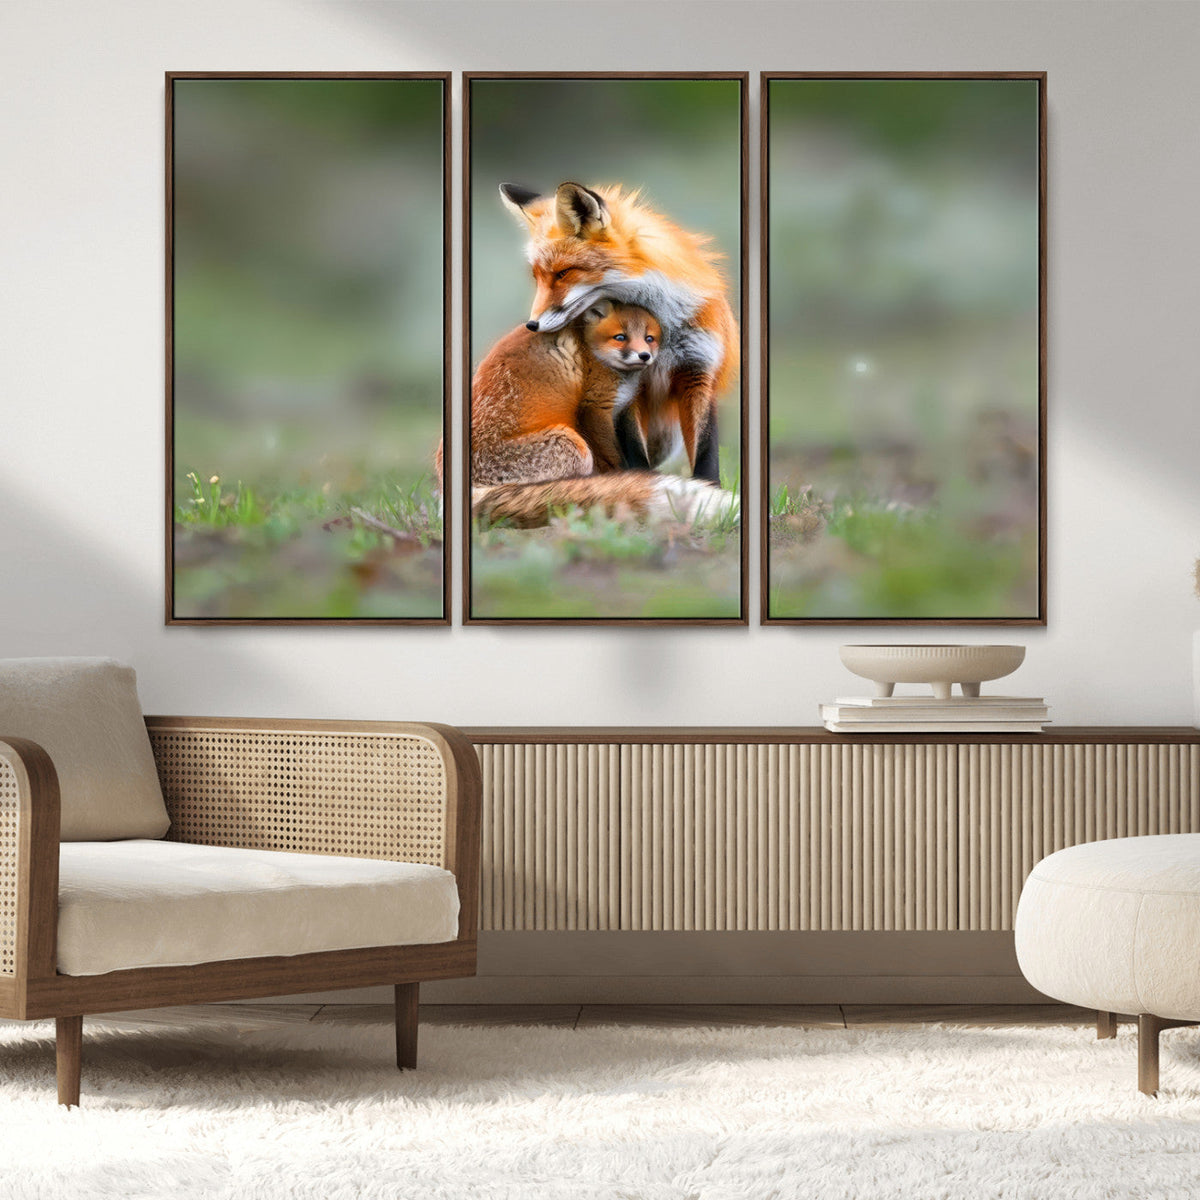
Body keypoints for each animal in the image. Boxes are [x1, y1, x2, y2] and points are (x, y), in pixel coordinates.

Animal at [498, 180, 739, 484]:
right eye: (538, 277)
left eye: (563, 273)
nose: (532, 325)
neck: (663, 329)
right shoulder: (628, 386)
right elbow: (634, 452)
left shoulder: (698, 371)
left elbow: (706, 454)